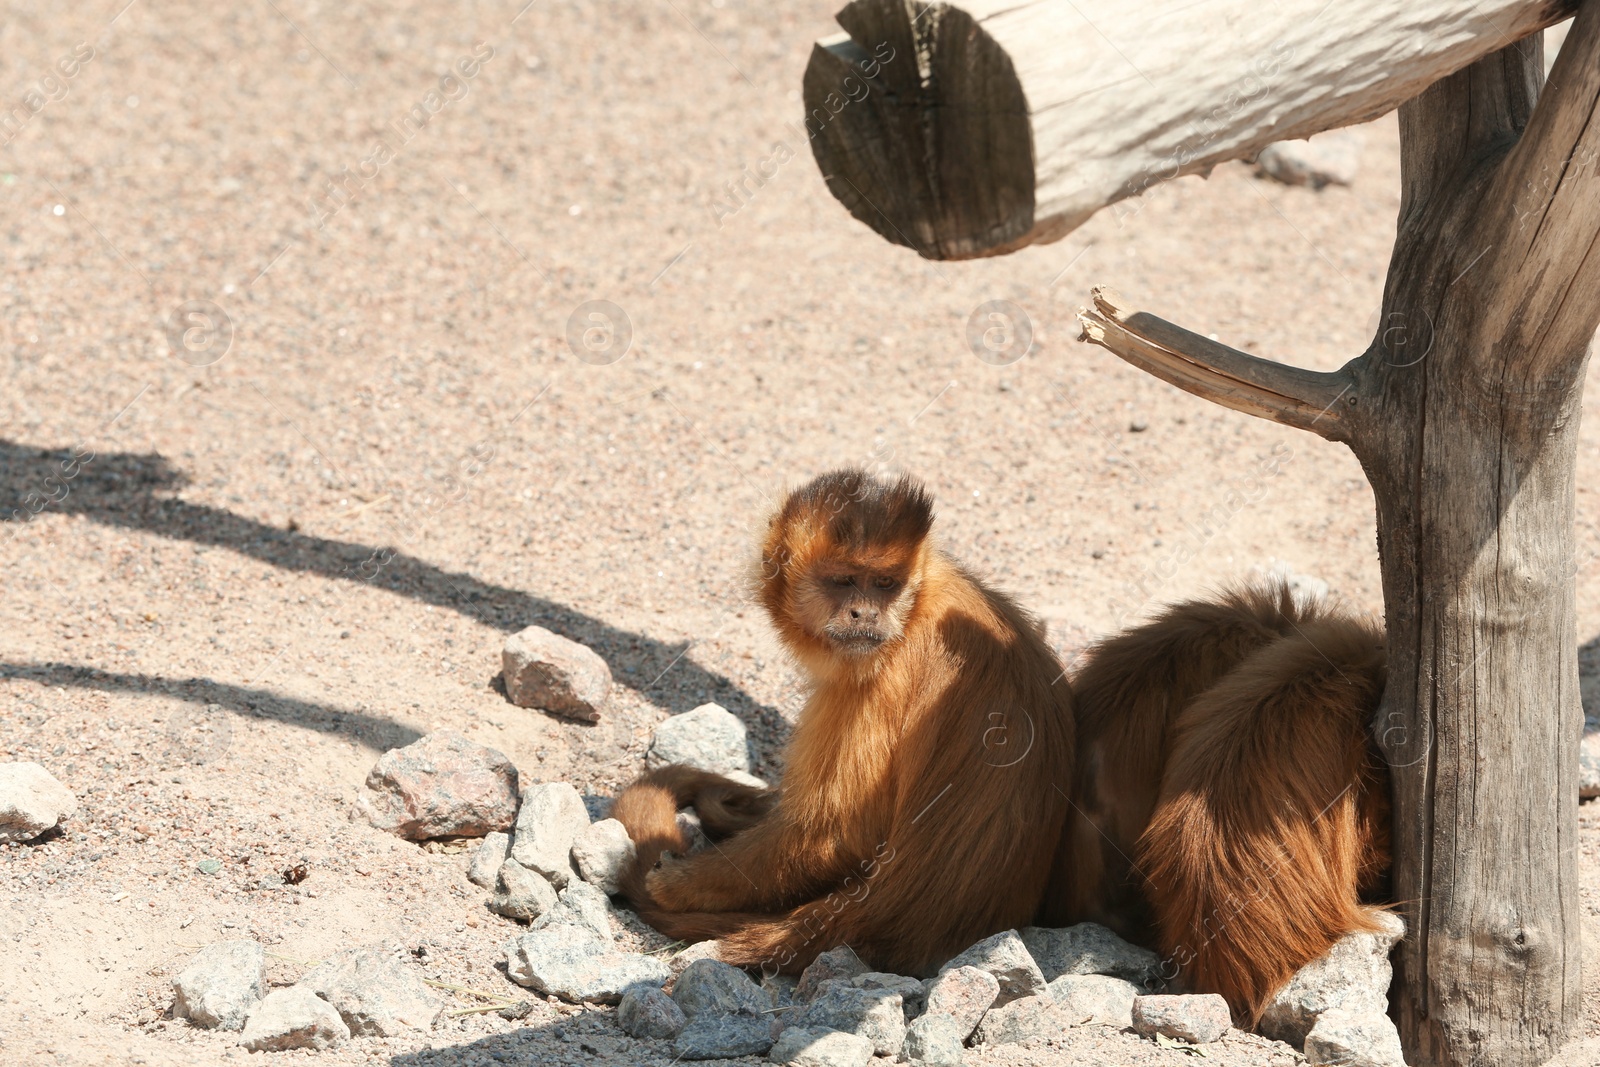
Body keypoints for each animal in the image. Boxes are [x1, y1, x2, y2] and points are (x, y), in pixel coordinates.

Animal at [610, 468, 1075, 978]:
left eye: (885, 583)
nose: (865, 613)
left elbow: (836, 836)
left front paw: (676, 885)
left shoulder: (883, 676)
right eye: (845, 580)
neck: (916, 607)